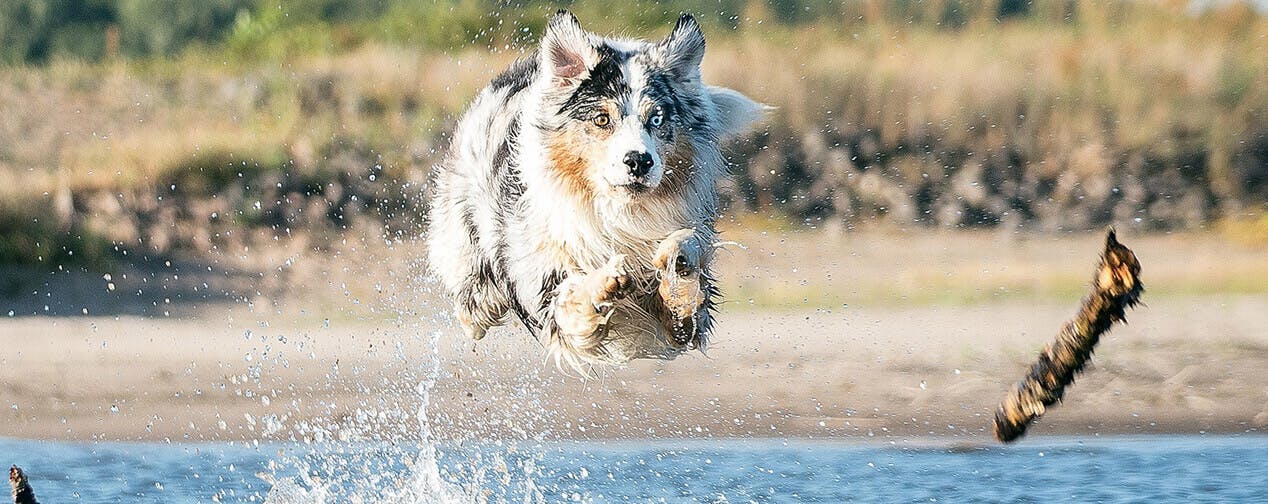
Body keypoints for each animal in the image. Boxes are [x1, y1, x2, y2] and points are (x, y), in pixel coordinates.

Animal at [426, 9, 760, 368]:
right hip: (473, 272)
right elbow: (571, 295)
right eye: (602, 119)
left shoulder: (686, 323)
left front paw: (677, 259)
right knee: (473, 313)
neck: (619, 213)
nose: (639, 161)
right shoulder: (546, 289)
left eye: (656, 119)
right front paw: (605, 281)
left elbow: (685, 264)